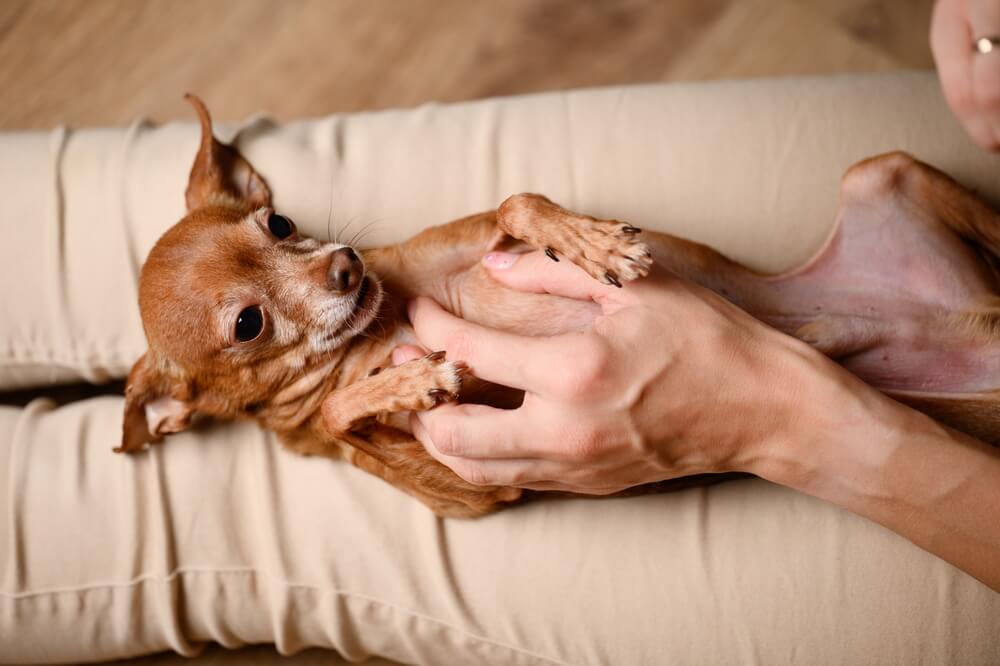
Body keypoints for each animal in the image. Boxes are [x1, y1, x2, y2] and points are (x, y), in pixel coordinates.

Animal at [121, 96, 1000, 516]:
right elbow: (341, 417)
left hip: (885, 172)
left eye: (277, 223)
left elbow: (518, 200)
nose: (346, 266)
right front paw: (405, 384)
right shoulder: (468, 494)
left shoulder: (484, 239)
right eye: (247, 324)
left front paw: (593, 244)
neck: (378, 325)